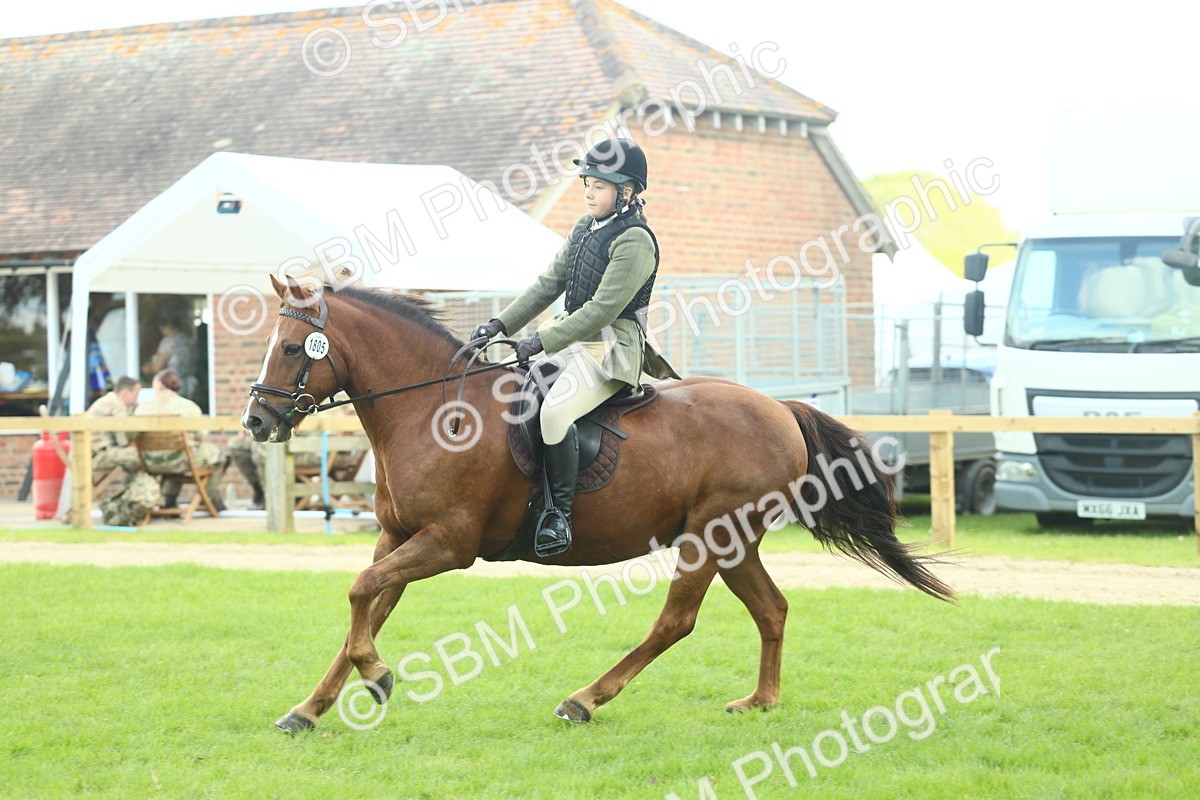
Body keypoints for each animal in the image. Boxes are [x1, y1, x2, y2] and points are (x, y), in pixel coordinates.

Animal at [243, 275, 954, 733]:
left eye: (290, 348)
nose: (256, 420)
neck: (432, 410)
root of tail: (780, 408)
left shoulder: (448, 544)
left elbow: (360, 593)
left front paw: (378, 677)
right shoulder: (398, 538)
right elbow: (368, 607)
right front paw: (312, 708)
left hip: (708, 537)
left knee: (677, 621)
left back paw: (584, 700)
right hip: (734, 540)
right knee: (771, 608)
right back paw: (760, 702)